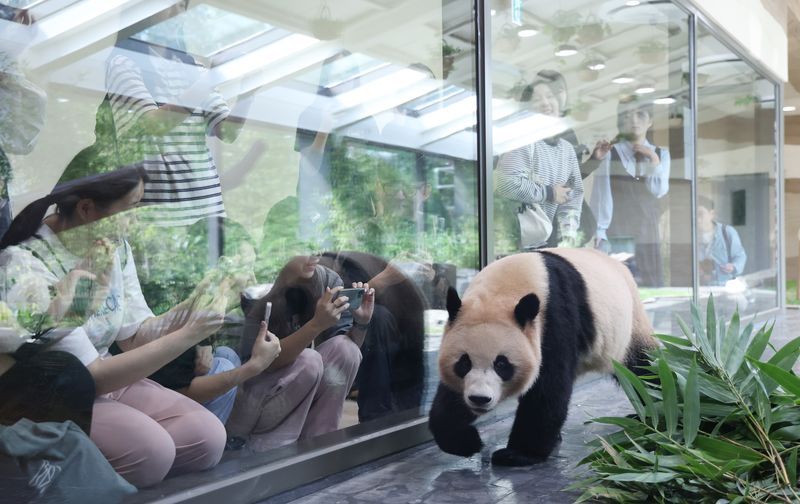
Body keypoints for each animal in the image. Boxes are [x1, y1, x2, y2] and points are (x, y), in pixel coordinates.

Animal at [428, 248, 656, 466]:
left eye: (502, 364)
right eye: (464, 362)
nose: (479, 399)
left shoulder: (554, 318)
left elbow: (548, 388)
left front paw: (517, 454)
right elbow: (450, 396)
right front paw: (465, 442)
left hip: (629, 328)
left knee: (643, 369)